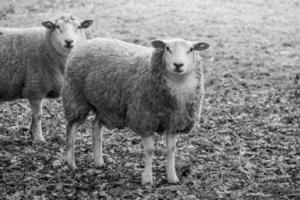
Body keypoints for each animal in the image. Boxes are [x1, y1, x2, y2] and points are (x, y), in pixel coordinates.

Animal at [0, 14, 93, 142]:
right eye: (57, 26)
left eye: (79, 27)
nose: (69, 41)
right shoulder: (35, 88)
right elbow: (38, 115)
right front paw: (39, 138)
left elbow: (34, 116)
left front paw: (31, 132)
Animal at [62, 36, 209, 185]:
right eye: (167, 48)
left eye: (191, 49)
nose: (178, 65)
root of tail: (88, 41)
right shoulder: (144, 119)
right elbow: (150, 150)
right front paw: (147, 179)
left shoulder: (174, 122)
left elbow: (171, 149)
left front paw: (172, 177)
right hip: (76, 97)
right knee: (72, 127)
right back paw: (70, 163)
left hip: (105, 103)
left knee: (96, 125)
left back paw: (98, 161)